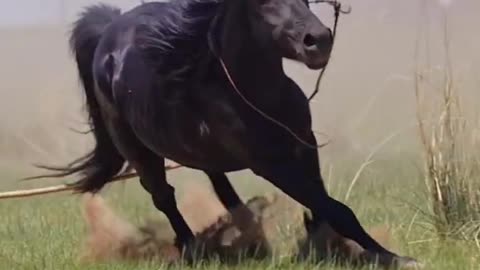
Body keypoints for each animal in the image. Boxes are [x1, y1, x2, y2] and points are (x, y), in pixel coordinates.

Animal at [35, 0, 416, 266]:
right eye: (261, 2)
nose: (318, 41)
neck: (255, 94)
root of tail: (108, 36)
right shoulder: (271, 164)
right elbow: (336, 207)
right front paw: (395, 258)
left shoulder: (304, 146)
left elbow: (324, 203)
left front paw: (328, 245)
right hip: (140, 153)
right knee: (164, 197)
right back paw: (194, 249)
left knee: (220, 185)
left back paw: (245, 231)